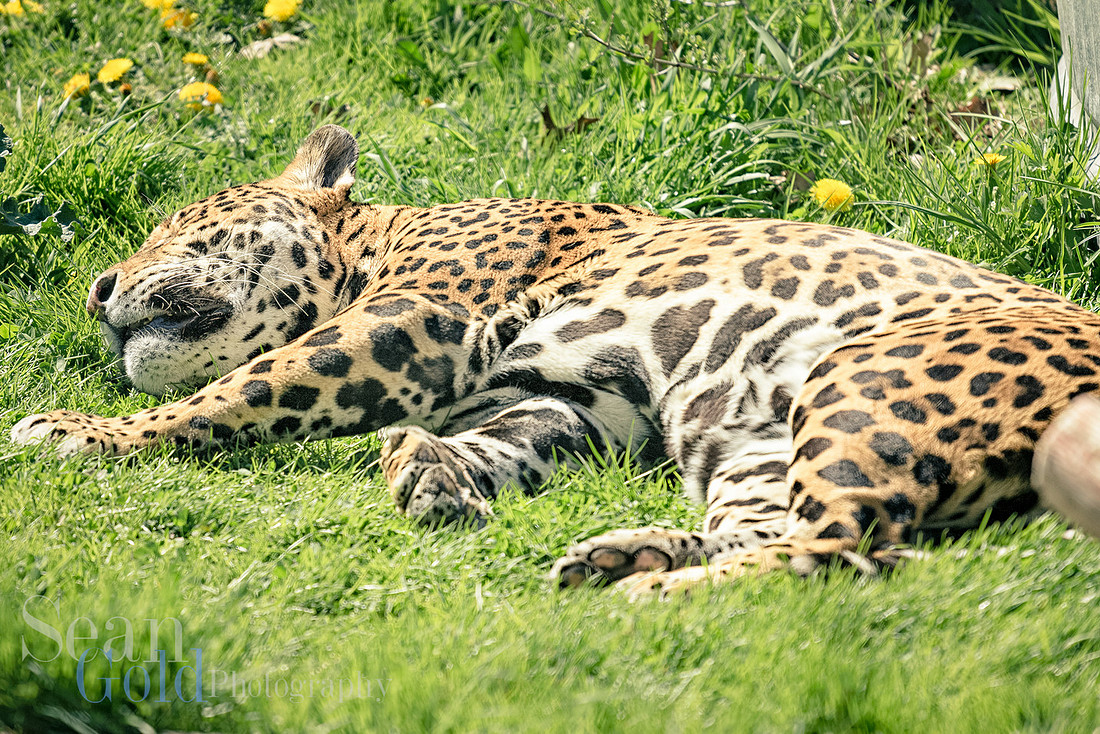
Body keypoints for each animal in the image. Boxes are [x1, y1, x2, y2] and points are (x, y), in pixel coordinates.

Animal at [11, 124, 1100, 598]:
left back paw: (646, 590)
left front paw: (82, 431)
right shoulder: (570, 399)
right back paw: (621, 555)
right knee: (789, 535)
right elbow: (505, 441)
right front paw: (432, 475)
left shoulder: (422, 316)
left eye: (177, 225)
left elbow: (246, 388)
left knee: (849, 551)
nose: (99, 288)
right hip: (754, 441)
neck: (377, 243)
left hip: (860, 380)